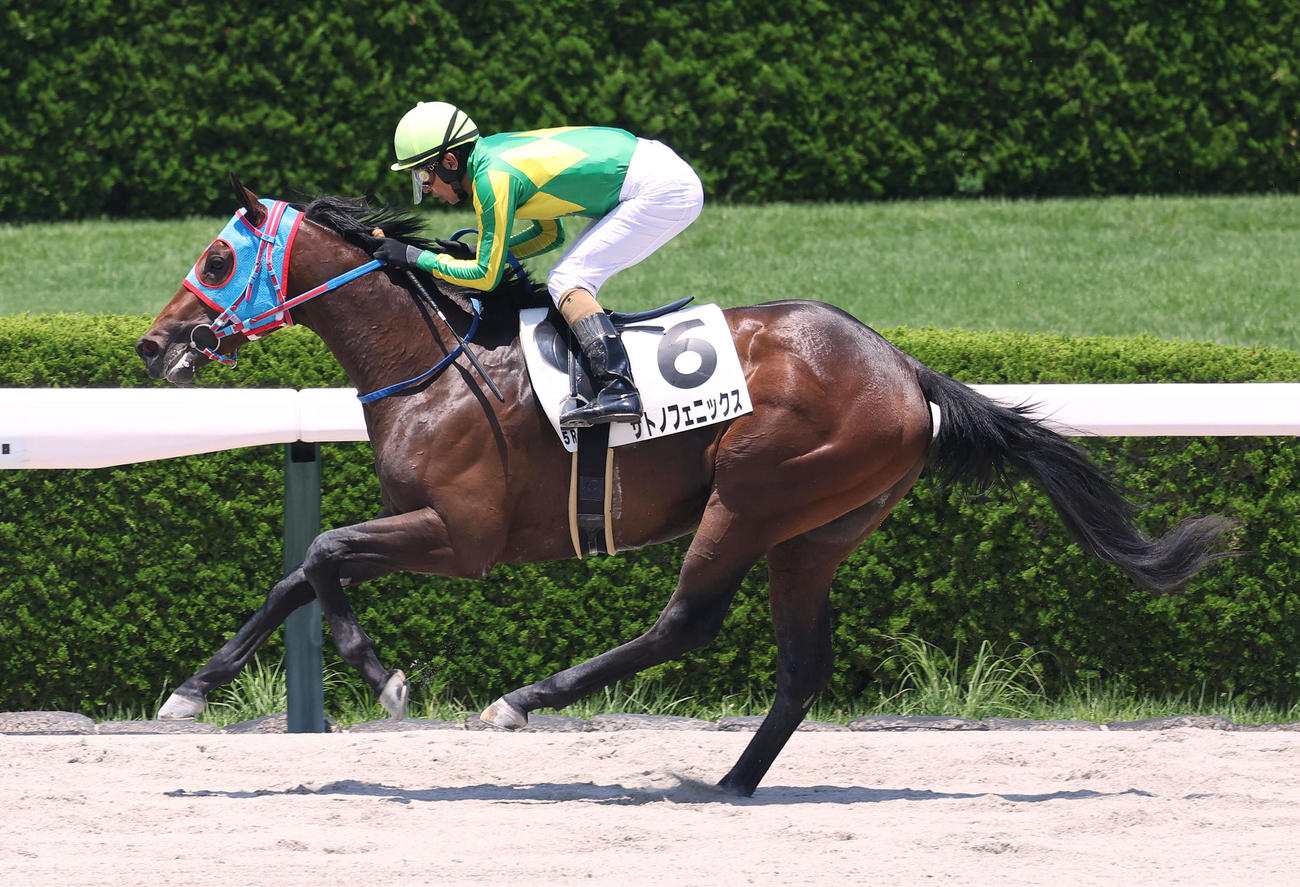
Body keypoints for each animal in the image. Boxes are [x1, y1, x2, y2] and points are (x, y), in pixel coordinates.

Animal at [135, 176, 1233, 797]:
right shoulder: (429, 523)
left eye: (219, 256)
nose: (154, 343)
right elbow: (296, 575)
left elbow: (322, 557)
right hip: (817, 529)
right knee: (799, 666)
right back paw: (728, 782)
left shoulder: (462, 532)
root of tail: (904, 368)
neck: (436, 362)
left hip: (753, 495)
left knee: (687, 621)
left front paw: (385, 675)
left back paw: (526, 700)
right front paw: (191, 688)